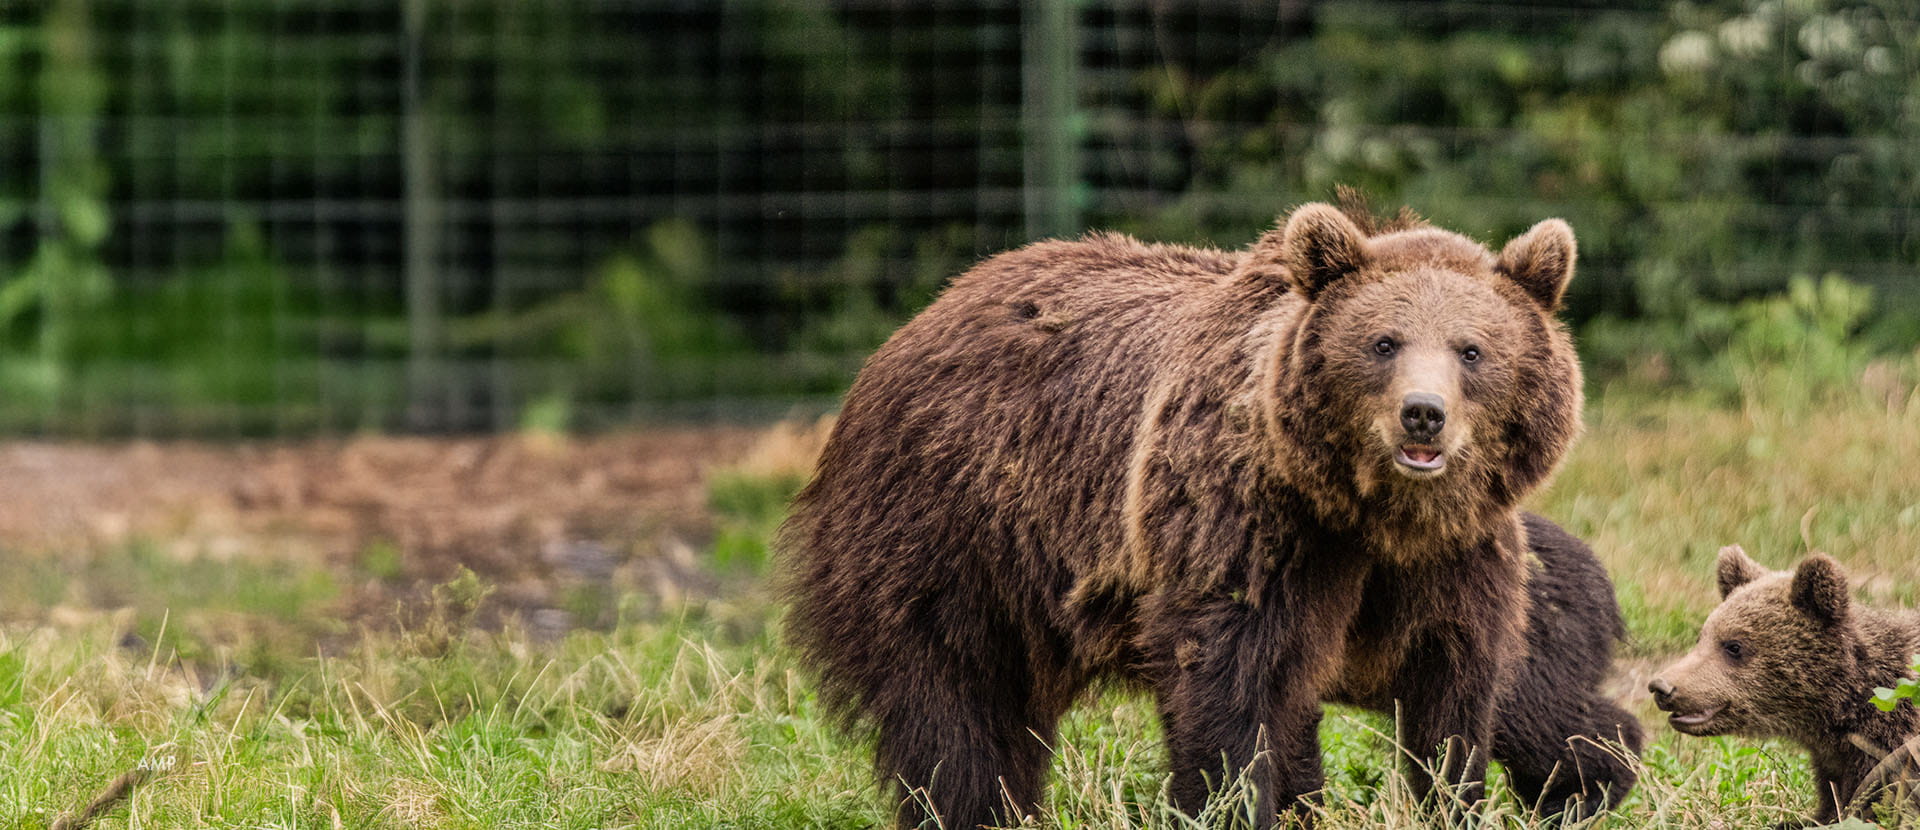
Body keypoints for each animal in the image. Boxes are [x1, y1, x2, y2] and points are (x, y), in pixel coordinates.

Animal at [781, 198, 1587, 828]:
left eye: (1472, 350)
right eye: (1383, 343)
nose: (1423, 415)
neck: (1365, 513)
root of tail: (915, 326)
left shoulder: (1452, 555)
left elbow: (1450, 694)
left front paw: (1448, 797)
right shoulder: (1247, 524)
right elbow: (1228, 682)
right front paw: (1232, 803)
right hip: (950, 535)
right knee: (955, 706)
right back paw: (979, 807)